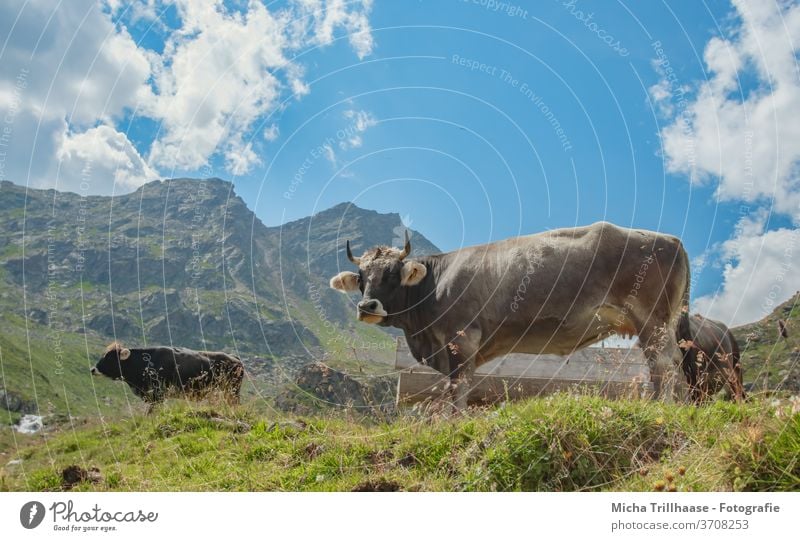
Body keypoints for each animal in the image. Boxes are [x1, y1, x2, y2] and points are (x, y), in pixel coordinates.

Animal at [328, 220, 692, 404]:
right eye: (362, 277)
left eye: (392, 274)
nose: (367, 306)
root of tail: (671, 239)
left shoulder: (462, 339)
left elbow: (457, 388)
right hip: (663, 324)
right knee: (676, 362)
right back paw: (682, 407)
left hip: (650, 319)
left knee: (662, 364)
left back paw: (659, 407)